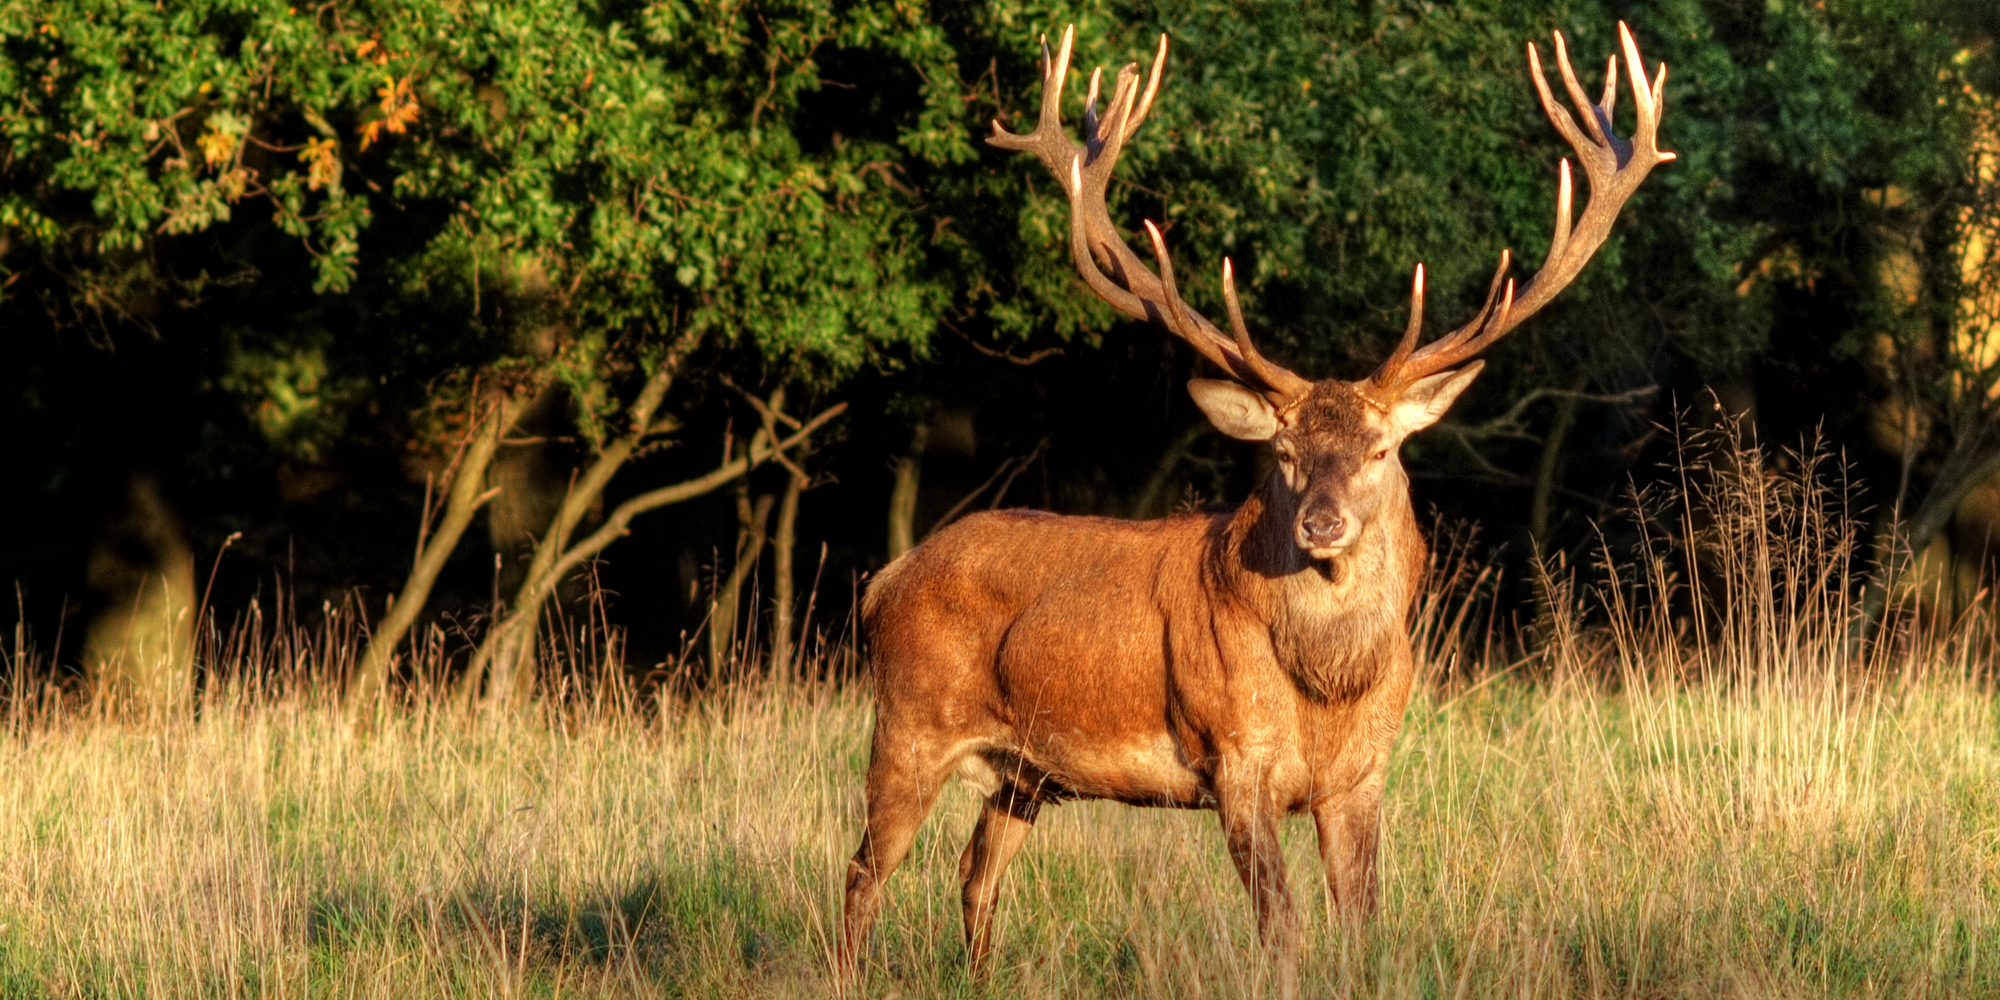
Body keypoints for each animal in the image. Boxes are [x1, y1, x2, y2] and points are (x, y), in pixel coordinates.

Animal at [840, 23, 1672, 992]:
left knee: (975, 877)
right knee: (864, 872)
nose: (1321, 523)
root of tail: (885, 579)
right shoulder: (1235, 761)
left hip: (1024, 773)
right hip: (908, 724)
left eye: (1381, 450)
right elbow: (1282, 928)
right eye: (1282, 453)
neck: (1328, 688)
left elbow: (1362, 924)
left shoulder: (1363, 776)